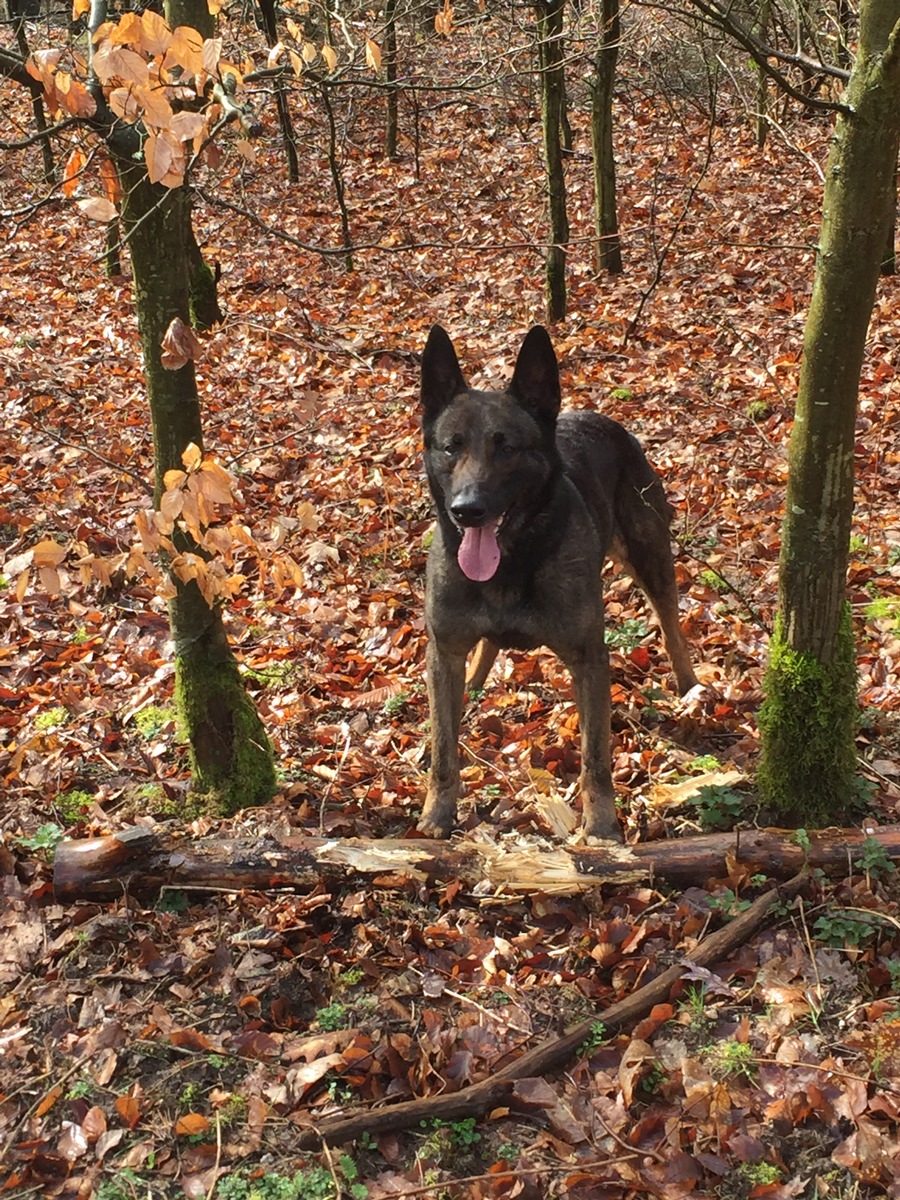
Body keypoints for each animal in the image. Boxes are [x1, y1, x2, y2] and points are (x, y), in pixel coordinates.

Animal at [420, 324, 700, 840]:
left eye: (507, 447)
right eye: (451, 446)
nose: (467, 510)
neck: (513, 560)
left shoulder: (588, 658)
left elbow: (596, 758)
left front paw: (602, 826)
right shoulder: (443, 652)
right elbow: (444, 748)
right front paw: (436, 815)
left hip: (651, 557)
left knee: (670, 624)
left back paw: (690, 685)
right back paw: (474, 683)